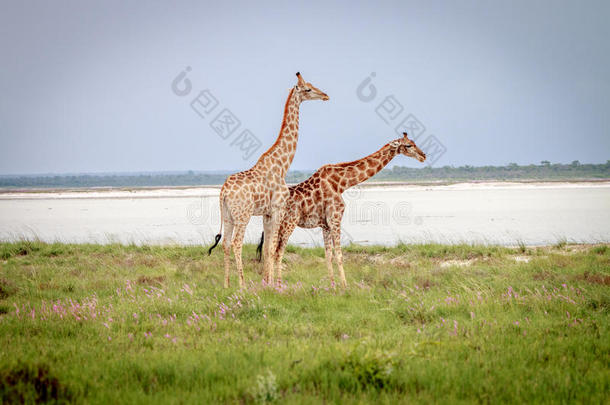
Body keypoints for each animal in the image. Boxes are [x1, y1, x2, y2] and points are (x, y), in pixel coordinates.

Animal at [208, 72, 328, 288]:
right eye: (308, 89)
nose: (325, 95)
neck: (282, 165)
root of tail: (223, 192)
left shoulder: (267, 213)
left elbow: (266, 249)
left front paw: (267, 282)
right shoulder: (278, 208)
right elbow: (272, 248)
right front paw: (273, 284)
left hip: (228, 215)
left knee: (226, 244)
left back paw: (226, 284)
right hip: (243, 215)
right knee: (237, 243)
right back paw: (242, 285)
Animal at [258, 133, 426, 288]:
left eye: (413, 142)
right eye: (409, 145)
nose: (423, 156)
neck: (341, 183)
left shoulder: (325, 225)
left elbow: (328, 255)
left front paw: (333, 286)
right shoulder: (335, 218)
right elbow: (339, 255)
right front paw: (345, 286)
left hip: (272, 223)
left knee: (267, 250)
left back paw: (267, 283)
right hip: (288, 223)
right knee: (277, 252)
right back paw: (278, 285)